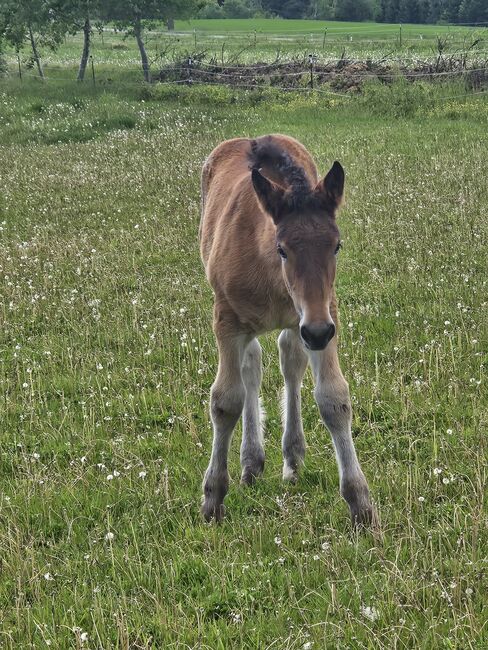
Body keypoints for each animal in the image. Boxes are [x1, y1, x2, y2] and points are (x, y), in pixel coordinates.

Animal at [199, 134, 374, 526]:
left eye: (336, 245)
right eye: (282, 249)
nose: (319, 333)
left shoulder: (323, 313)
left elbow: (334, 399)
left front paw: (360, 503)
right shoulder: (226, 319)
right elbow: (225, 401)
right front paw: (213, 498)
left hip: (299, 324)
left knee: (288, 361)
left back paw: (290, 459)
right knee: (251, 365)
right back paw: (251, 461)